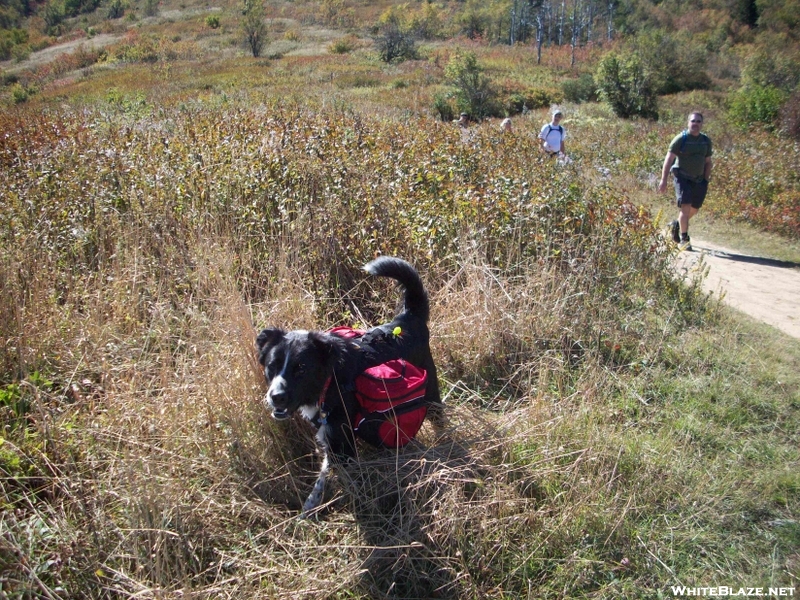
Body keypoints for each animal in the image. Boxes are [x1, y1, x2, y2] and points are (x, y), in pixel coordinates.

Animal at [256, 255, 440, 512]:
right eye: (271, 366)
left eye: (301, 368)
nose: (276, 397)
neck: (330, 382)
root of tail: (409, 317)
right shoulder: (330, 436)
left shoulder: (342, 442)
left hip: (432, 395)